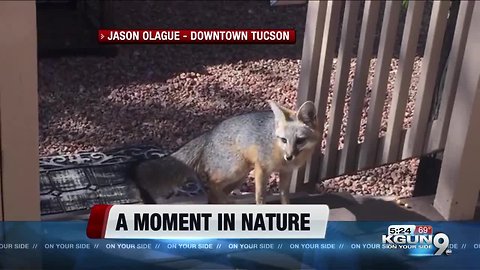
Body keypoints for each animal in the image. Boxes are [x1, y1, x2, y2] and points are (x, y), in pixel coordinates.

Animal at [131, 100, 318, 204]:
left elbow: (284, 195)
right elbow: (260, 196)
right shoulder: (261, 169)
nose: (289, 156)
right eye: (284, 140)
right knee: (211, 185)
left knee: (214, 194)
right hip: (237, 169)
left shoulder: (286, 172)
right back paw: (226, 201)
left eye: (300, 140)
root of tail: (209, 134)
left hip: (240, 175)